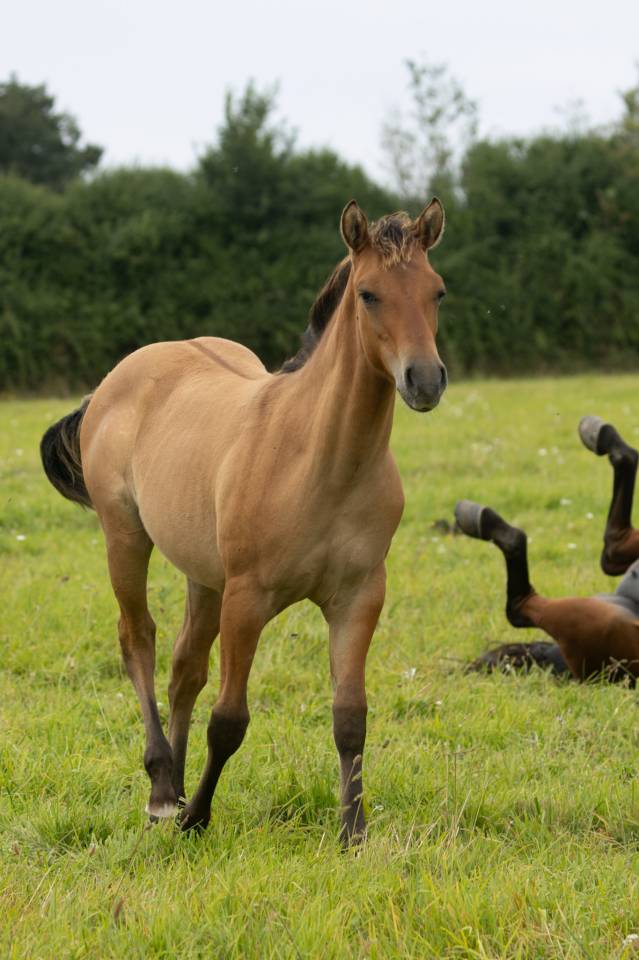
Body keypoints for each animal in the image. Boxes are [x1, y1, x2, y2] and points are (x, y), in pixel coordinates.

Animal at [41, 198, 447, 844]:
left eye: (437, 291)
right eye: (368, 294)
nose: (425, 380)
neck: (320, 460)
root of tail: (114, 381)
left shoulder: (359, 597)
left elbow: (350, 716)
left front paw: (353, 832)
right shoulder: (247, 598)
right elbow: (229, 719)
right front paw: (197, 819)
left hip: (202, 574)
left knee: (184, 666)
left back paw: (176, 785)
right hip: (125, 539)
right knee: (139, 642)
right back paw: (163, 791)